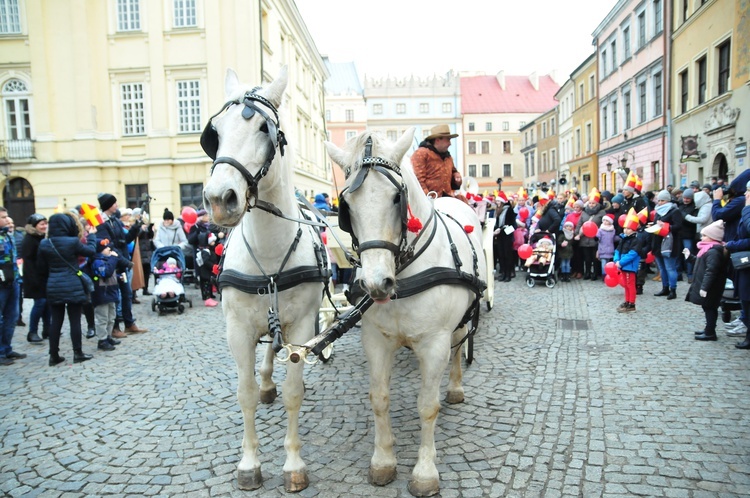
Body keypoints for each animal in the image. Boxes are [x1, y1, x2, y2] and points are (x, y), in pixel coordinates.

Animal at [203, 68, 326, 492]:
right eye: (216, 132)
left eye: (263, 128)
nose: (219, 198)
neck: (269, 256)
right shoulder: (236, 329)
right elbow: (246, 393)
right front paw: (249, 463)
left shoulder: (303, 326)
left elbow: (294, 392)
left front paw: (293, 465)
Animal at [326, 130, 490, 496]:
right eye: (347, 206)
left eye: (395, 199)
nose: (376, 284)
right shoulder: (376, 341)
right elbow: (379, 398)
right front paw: (383, 461)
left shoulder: (434, 343)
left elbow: (428, 405)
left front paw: (425, 471)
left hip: (461, 319)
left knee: (459, 347)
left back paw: (455, 386)